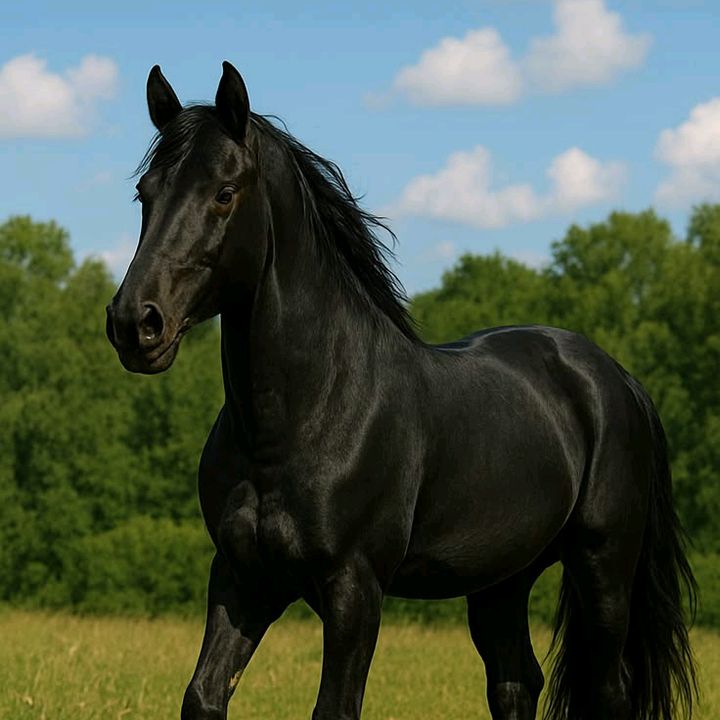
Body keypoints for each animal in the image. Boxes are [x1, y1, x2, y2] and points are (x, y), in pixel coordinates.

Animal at [106, 62, 697, 720]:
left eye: (224, 193)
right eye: (145, 194)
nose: (135, 323)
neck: (302, 418)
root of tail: (615, 378)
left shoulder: (354, 590)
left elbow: (334, 707)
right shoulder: (243, 578)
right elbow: (204, 697)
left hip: (603, 567)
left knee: (607, 689)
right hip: (501, 582)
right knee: (516, 682)